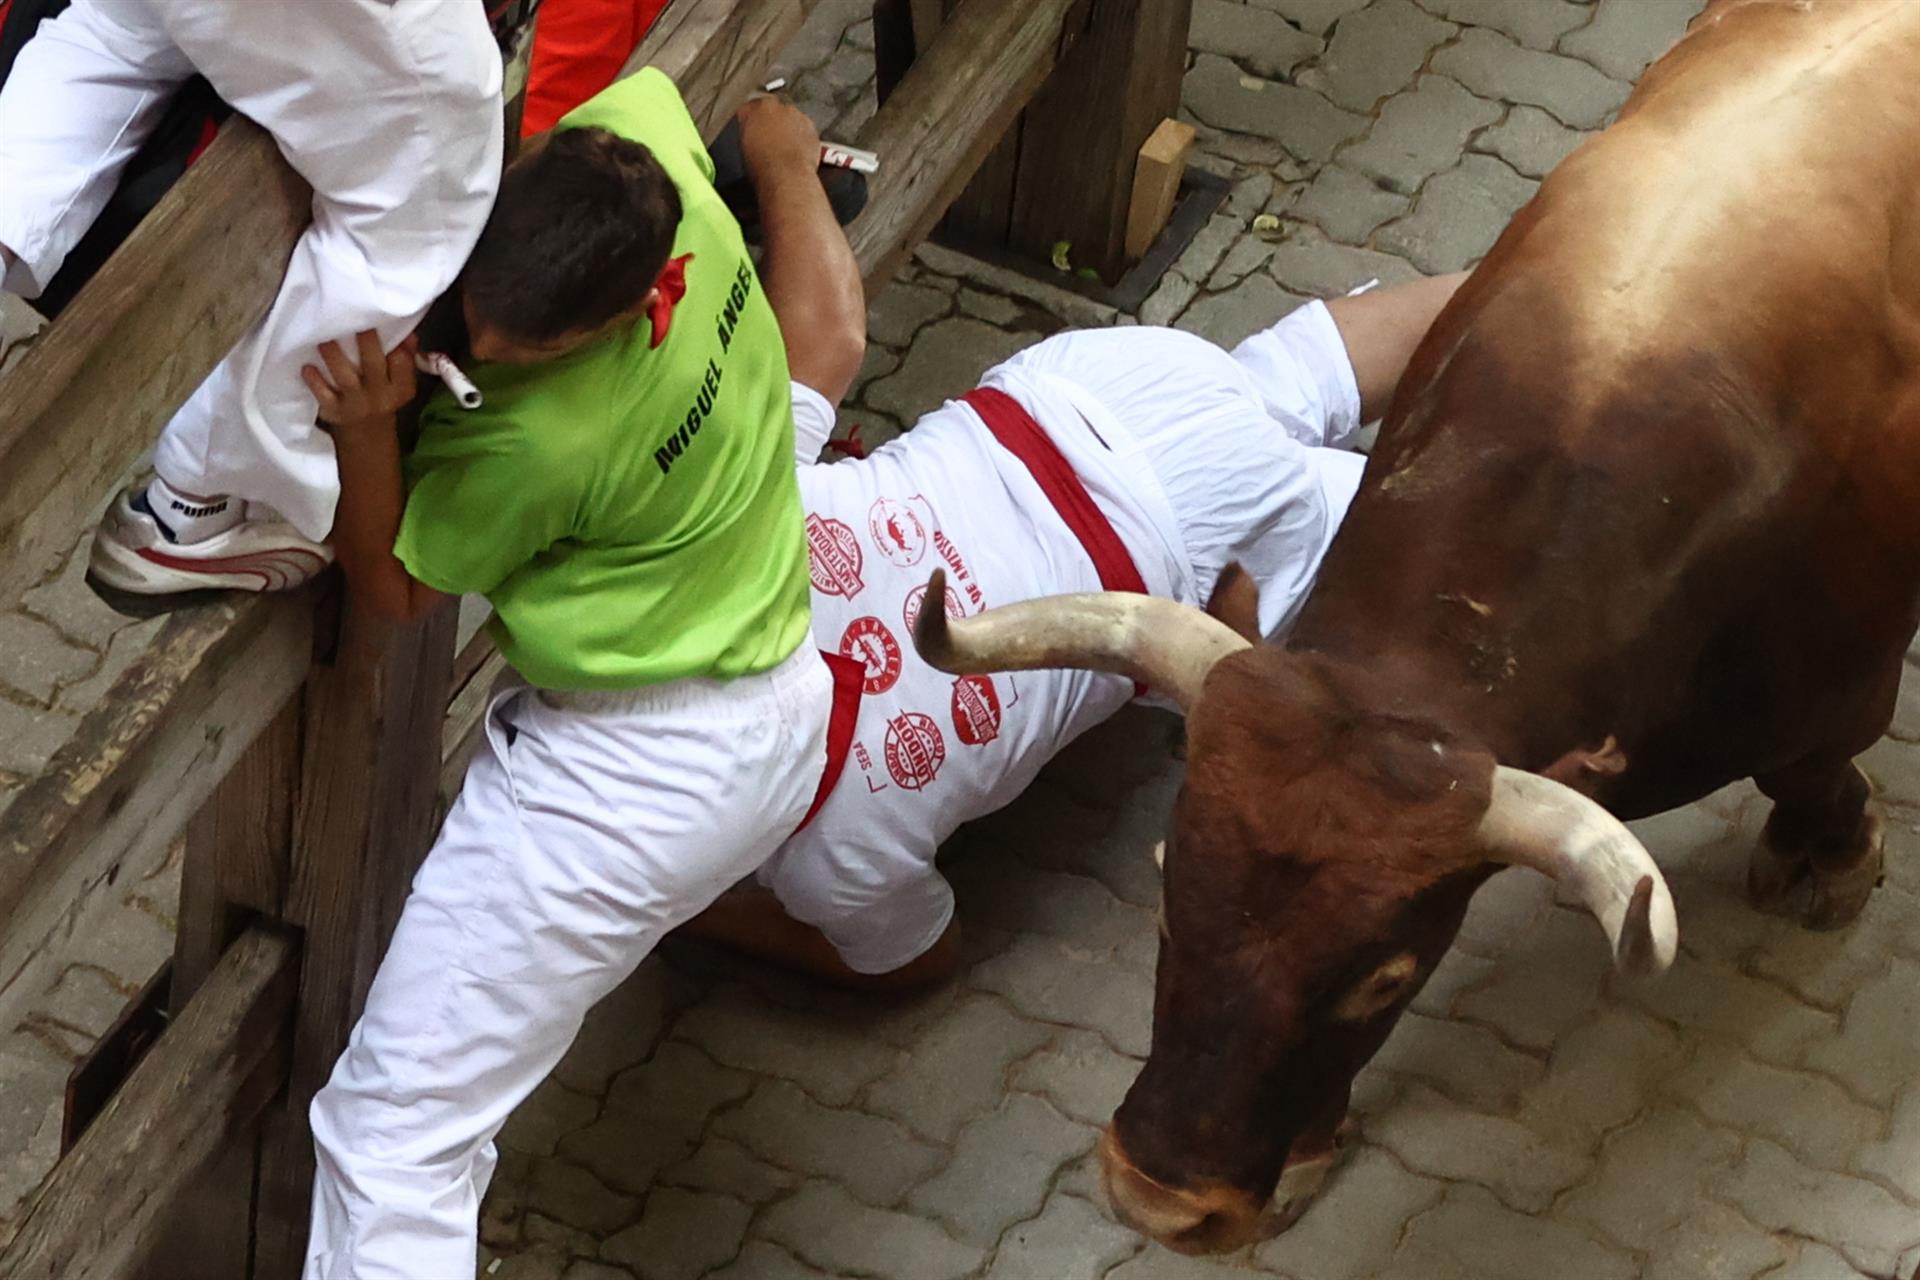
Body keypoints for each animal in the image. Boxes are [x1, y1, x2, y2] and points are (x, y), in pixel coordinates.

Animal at [910, 0, 1920, 1258]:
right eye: (1166, 872)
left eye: (1384, 980)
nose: (1160, 1198)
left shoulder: (1833, 690)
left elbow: (1812, 773)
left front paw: (1832, 854)